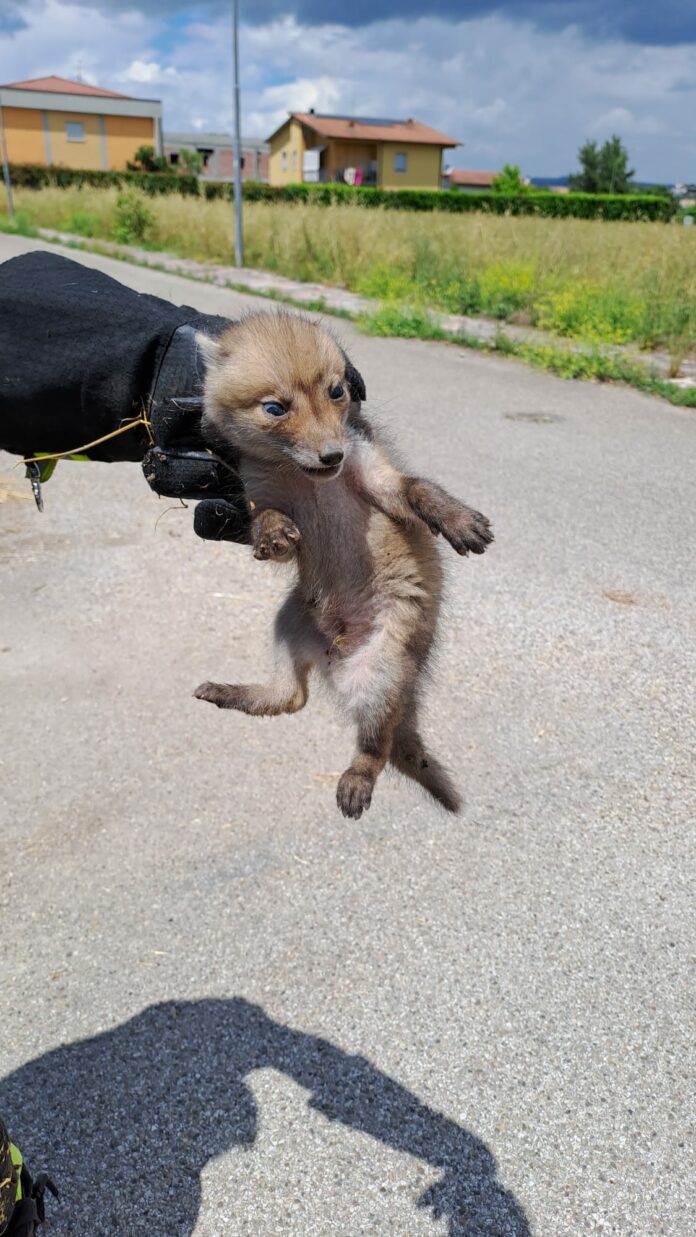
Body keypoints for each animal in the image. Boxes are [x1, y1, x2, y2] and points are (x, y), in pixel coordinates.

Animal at [194, 311, 493, 819]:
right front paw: (273, 534)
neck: (309, 484)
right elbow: (266, 521)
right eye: (275, 408)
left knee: (376, 747)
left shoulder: (378, 479)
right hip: (287, 626)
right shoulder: (260, 497)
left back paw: (356, 780)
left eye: (337, 391)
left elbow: (420, 489)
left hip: (380, 674)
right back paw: (227, 692)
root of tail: (334, 656)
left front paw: (459, 521)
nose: (332, 454)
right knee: (289, 699)